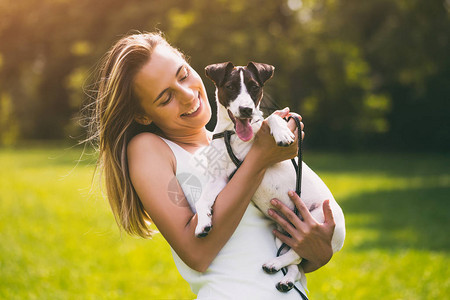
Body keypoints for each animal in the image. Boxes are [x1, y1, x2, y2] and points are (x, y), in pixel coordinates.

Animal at [192, 62, 344, 292]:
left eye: (255, 87)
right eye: (230, 86)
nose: (246, 109)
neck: (232, 134)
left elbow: (269, 118)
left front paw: (282, 133)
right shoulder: (220, 179)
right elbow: (202, 201)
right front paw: (202, 223)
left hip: (316, 221)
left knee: (297, 254)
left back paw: (274, 264)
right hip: (281, 233)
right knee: (296, 262)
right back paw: (284, 277)